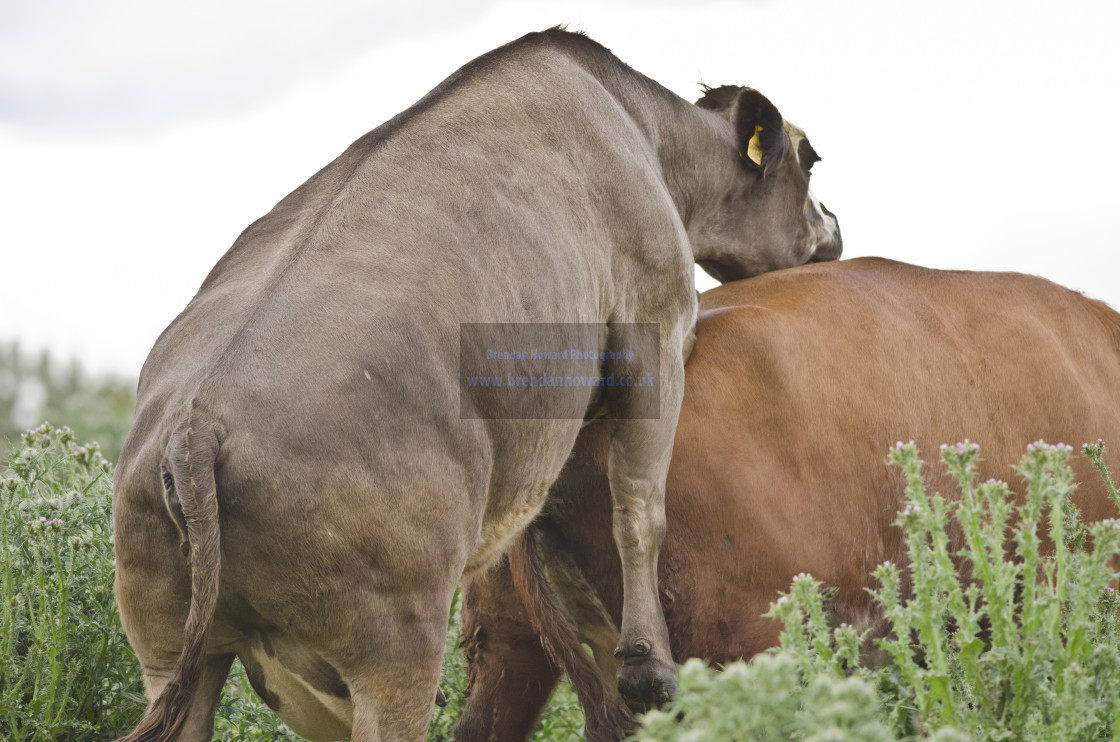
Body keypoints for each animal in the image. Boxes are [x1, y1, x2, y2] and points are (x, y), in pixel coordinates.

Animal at [111, 24, 842, 742]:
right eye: (809, 160)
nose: (833, 228)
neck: (643, 130)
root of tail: (197, 425)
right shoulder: (654, 327)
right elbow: (639, 507)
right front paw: (647, 664)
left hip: (174, 656)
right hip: (393, 658)